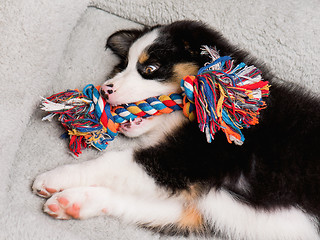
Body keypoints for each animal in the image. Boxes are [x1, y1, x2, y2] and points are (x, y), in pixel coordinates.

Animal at [32, 20, 320, 240]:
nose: (104, 90)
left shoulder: (190, 157)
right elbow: (139, 204)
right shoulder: (206, 204)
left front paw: (54, 178)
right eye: (122, 65)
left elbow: (112, 163)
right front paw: (73, 203)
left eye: (150, 68)